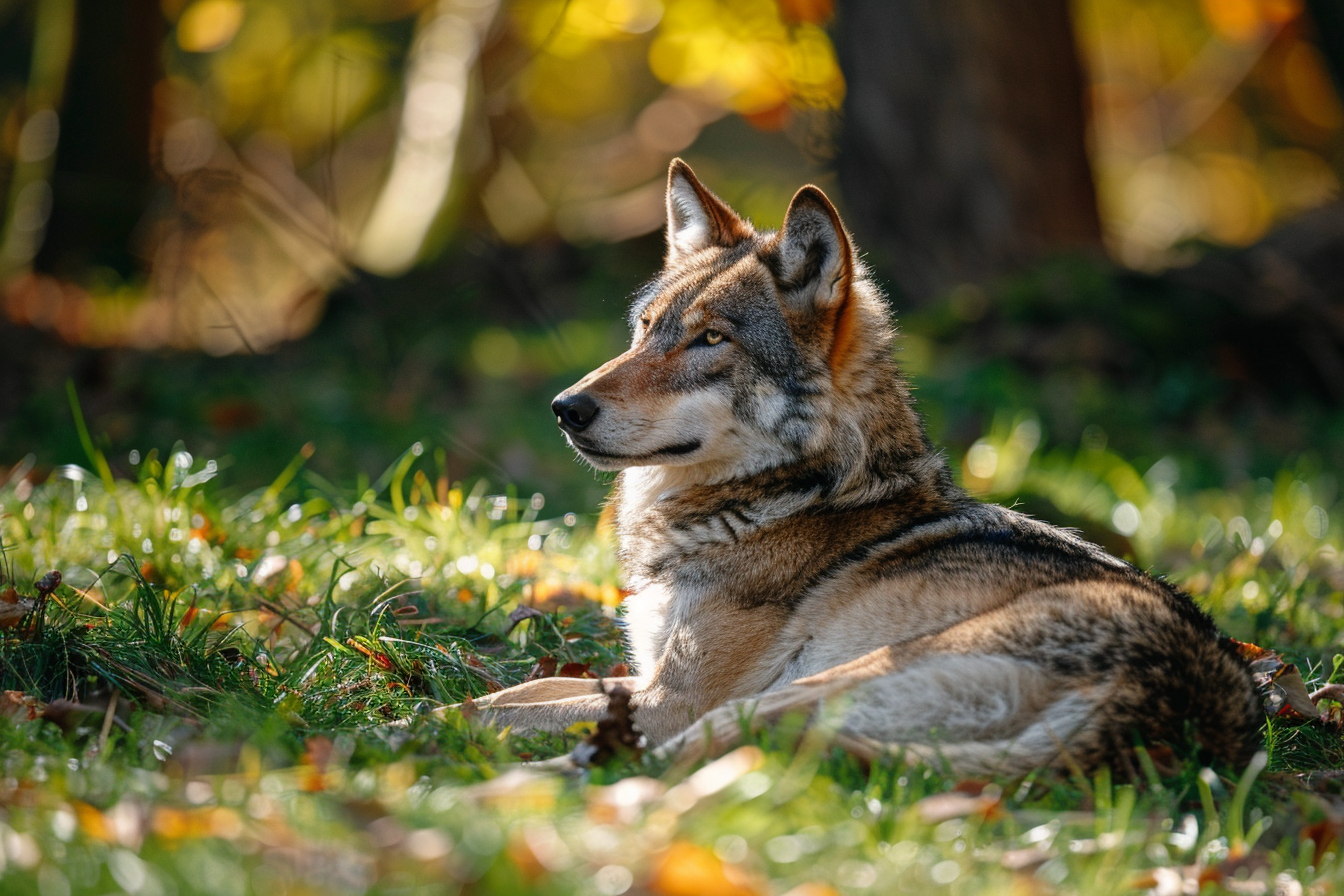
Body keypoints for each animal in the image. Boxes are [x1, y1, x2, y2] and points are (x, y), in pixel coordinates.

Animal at [464, 159, 1262, 775]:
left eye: (711, 339)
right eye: (644, 329)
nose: (566, 408)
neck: (783, 497)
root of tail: (1171, 707)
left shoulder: (673, 698)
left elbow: (488, 712)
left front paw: (435, 730)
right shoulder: (645, 674)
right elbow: (506, 696)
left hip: (797, 689)